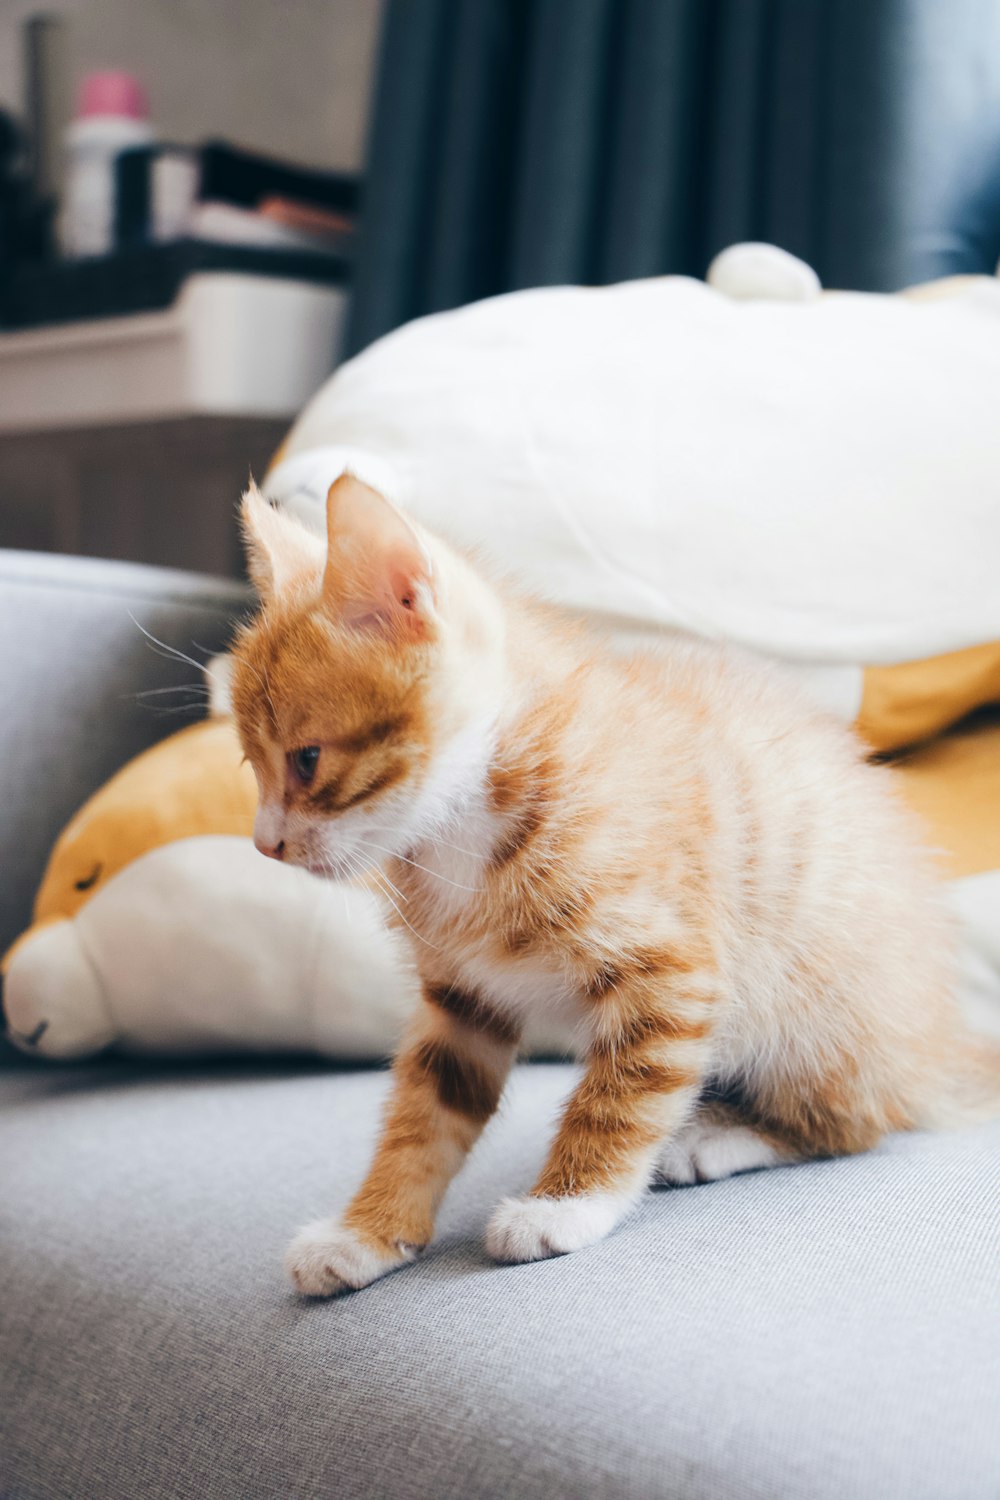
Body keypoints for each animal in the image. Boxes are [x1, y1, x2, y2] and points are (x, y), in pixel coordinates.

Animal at [230, 474, 995, 1296]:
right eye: (252, 766)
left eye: (307, 760)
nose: (265, 845)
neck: (460, 827)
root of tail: (937, 1046)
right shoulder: (462, 999)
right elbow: (422, 1116)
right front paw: (367, 1232)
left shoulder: (671, 973)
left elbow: (620, 1099)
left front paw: (564, 1208)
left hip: (815, 1014)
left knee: (850, 1125)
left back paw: (714, 1139)